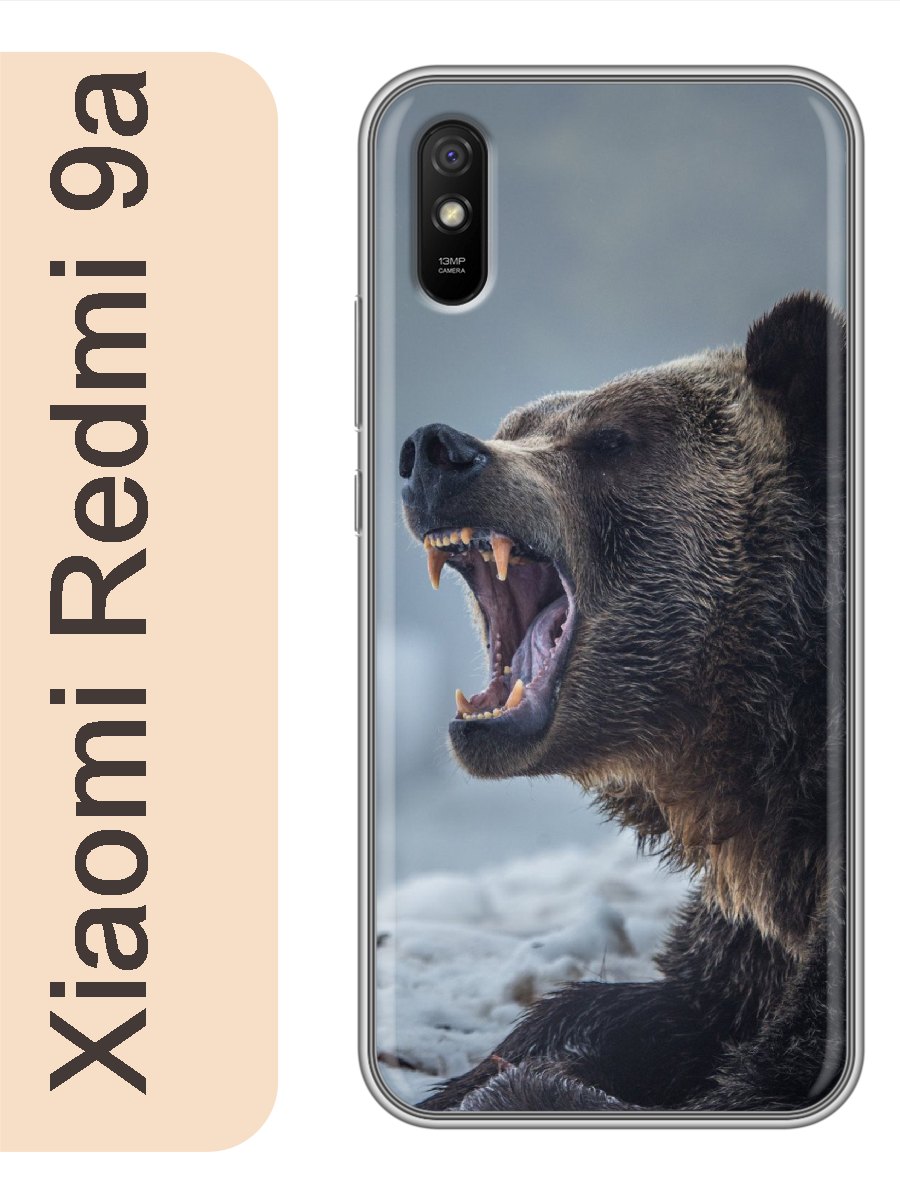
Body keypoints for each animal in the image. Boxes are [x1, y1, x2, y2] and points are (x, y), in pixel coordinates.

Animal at [397, 292, 847, 1112]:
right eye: (519, 423)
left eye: (610, 440)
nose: (435, 449)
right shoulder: (748, 924)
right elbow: (657, 1006)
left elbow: (767, 1066)